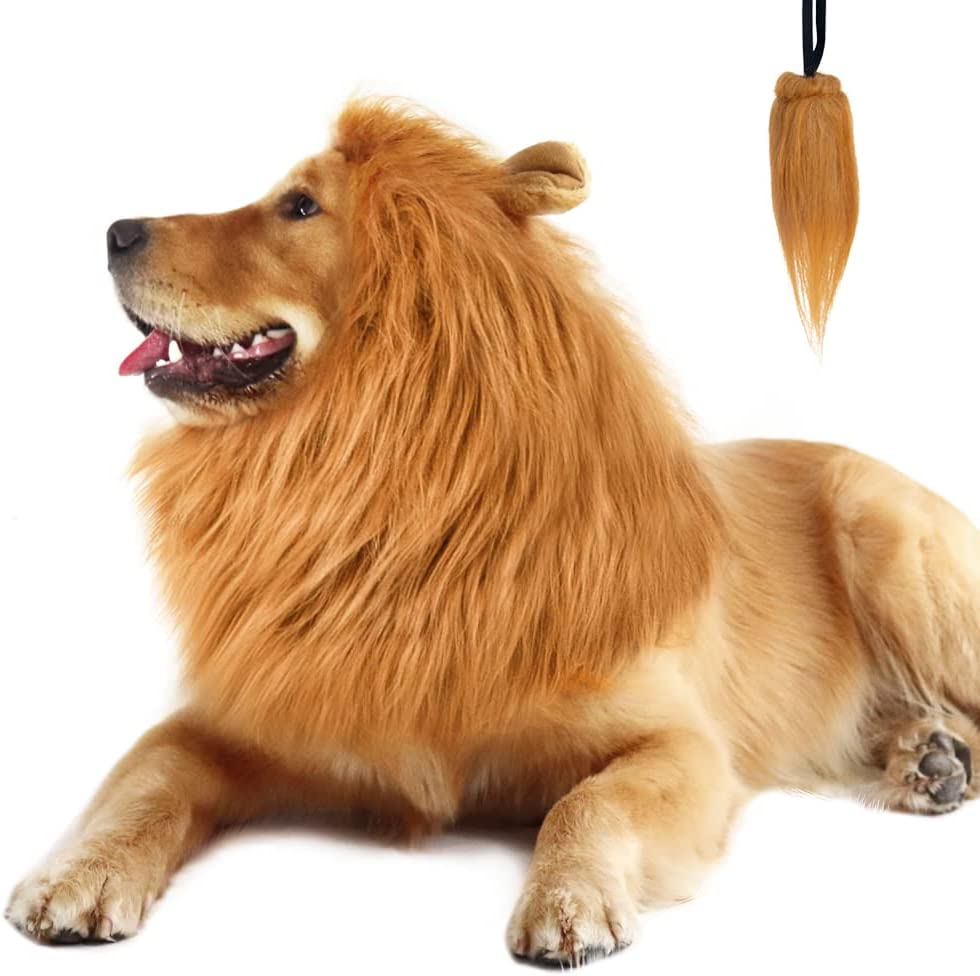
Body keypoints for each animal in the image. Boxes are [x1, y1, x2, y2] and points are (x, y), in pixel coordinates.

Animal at [6, 98, 980, 966]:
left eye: (299, 205)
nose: (116, 231)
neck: (377, 505)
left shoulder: (683, 745)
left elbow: (585, 804)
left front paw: (569, 900)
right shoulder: (236, 717)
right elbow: (142, 780)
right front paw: (78, 876)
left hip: (883, 532)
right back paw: (925, 759)